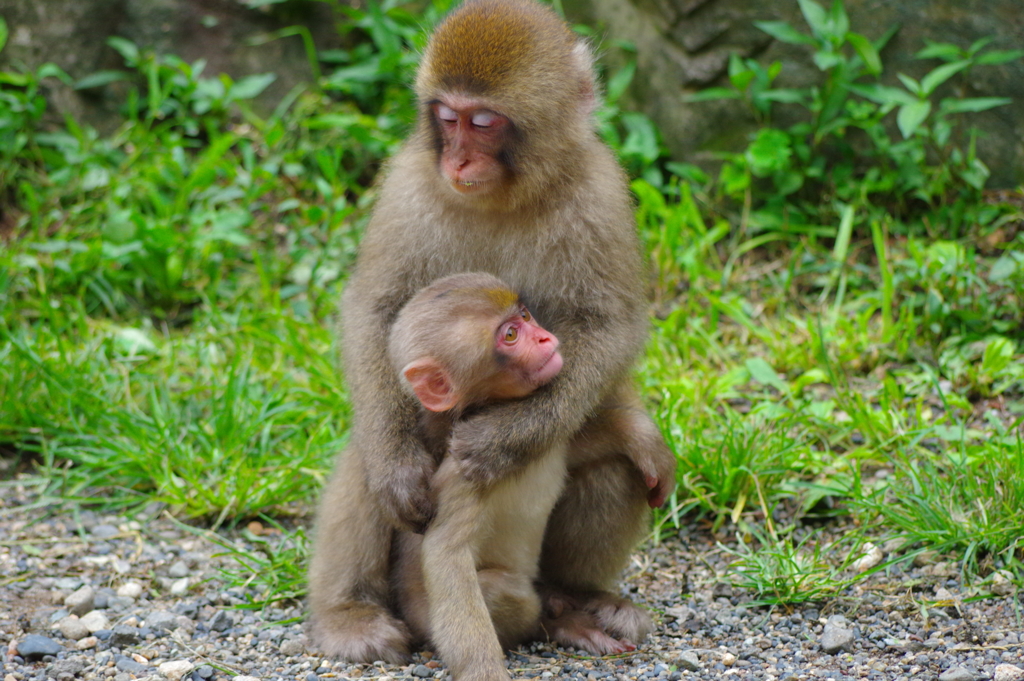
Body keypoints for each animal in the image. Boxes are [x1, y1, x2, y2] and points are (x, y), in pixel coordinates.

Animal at [387, 272, 667, 679]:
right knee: (507, 591)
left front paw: (639, 437)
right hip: (427, 621)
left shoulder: (534, 443)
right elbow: (448, 557)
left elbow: (572, 446)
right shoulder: (464, 472)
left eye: (524, 315)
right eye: (510, 336)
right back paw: (560, 622)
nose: (545, 338)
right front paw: (482, 669)